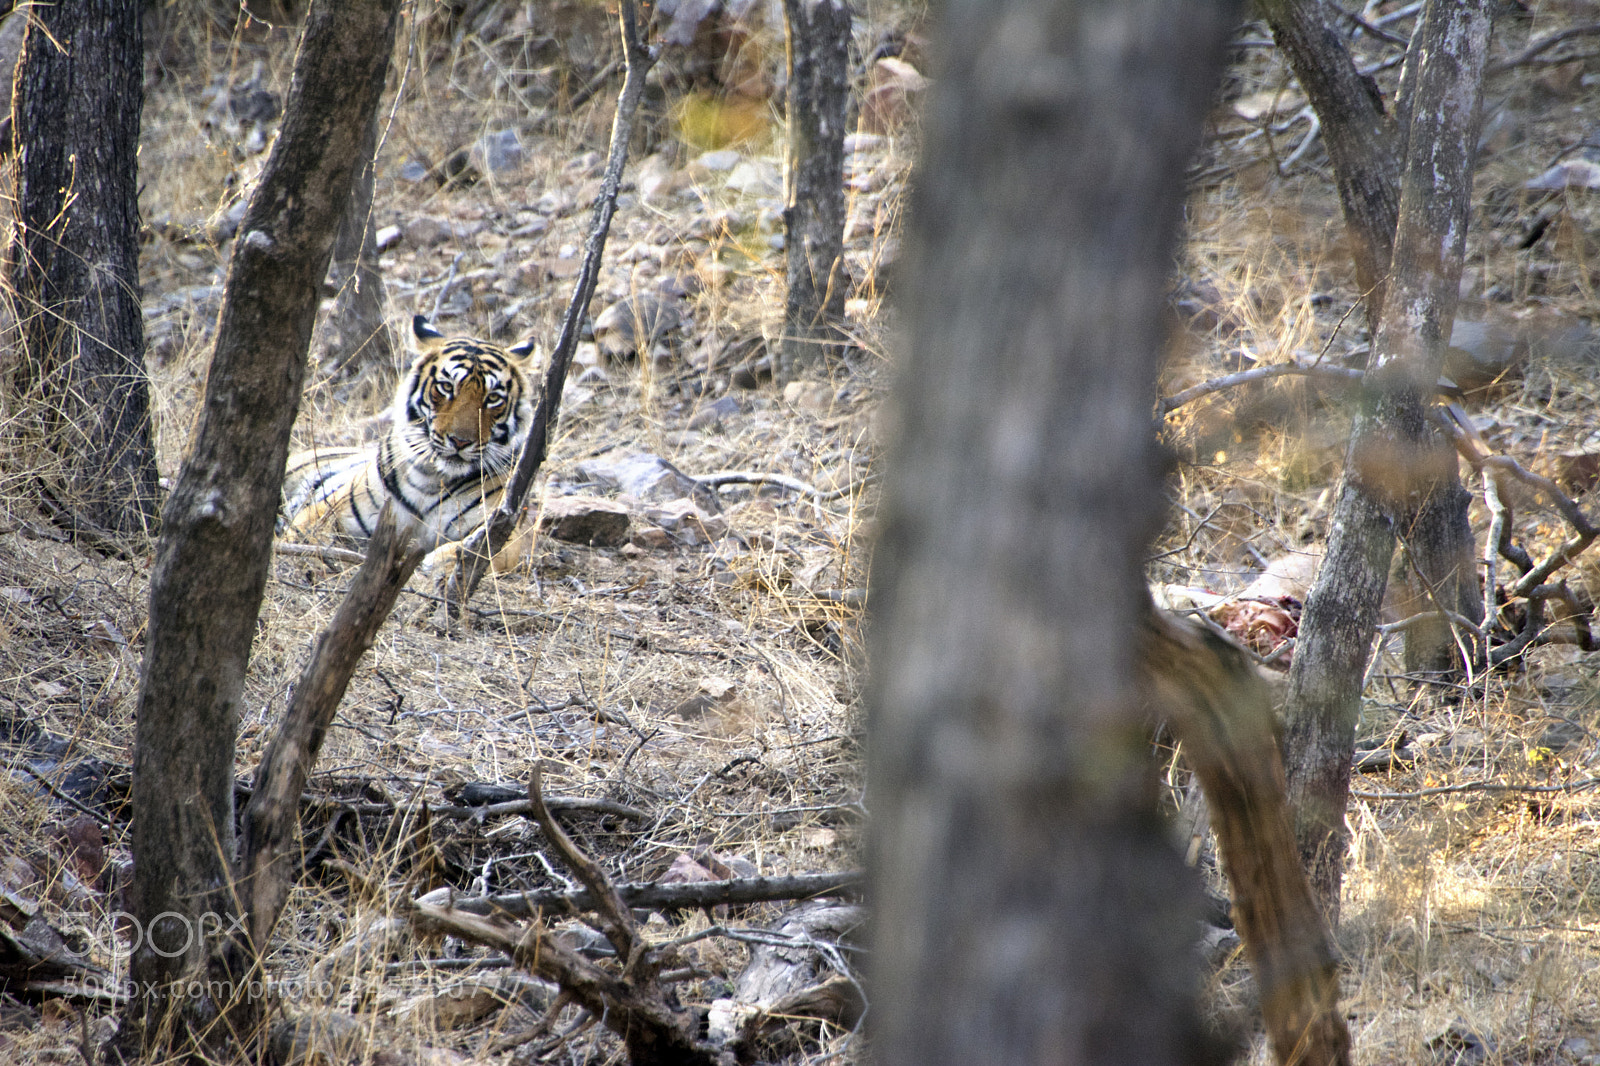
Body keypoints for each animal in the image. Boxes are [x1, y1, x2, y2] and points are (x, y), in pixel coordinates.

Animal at [281, 315, 540, 553]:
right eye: (447, 387)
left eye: (493, 398)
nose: (460, 441)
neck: (432, 480)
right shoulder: (327, 511)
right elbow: (303, 534)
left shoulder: (506, 530)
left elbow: (464, 551)